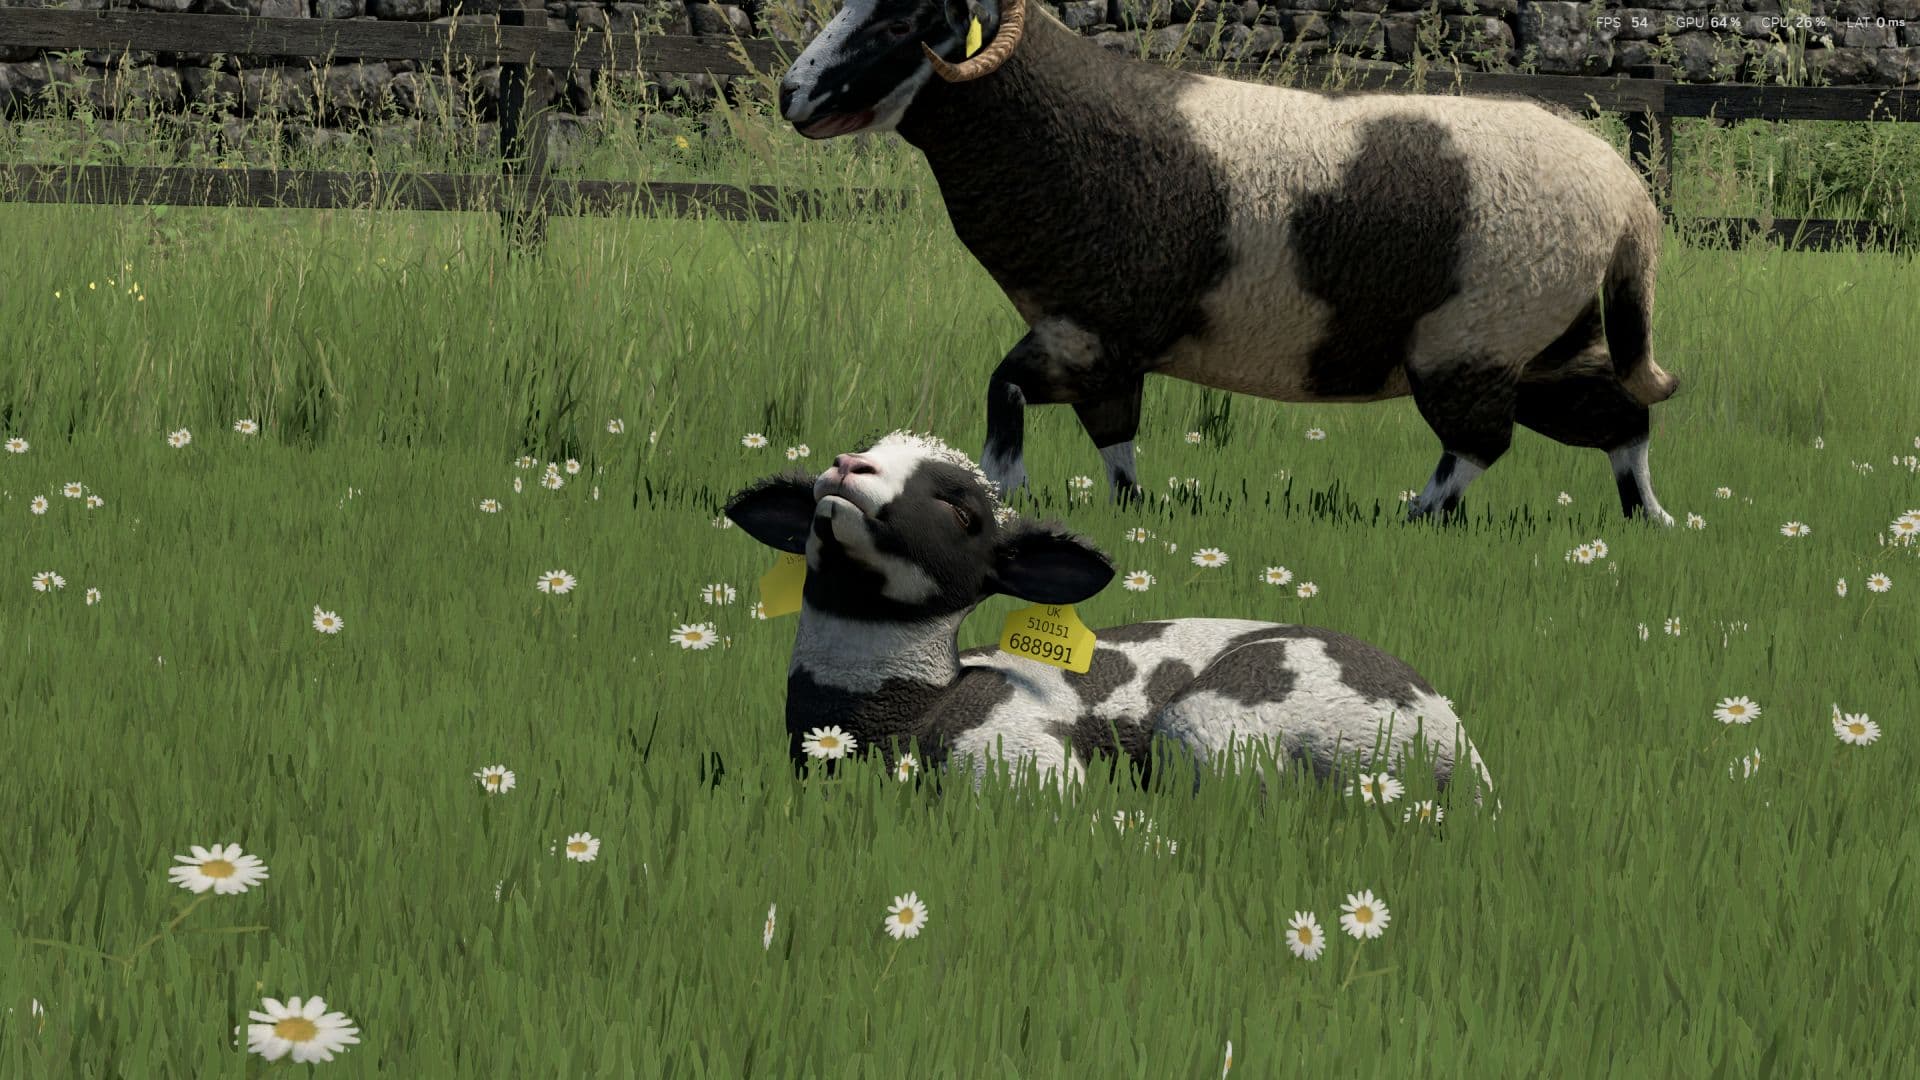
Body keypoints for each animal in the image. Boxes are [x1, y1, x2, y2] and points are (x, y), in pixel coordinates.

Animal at [722, 429, 1495, 801]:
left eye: (963, 512)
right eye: (851, 450)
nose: (848, 468)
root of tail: (1464, 754)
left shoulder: (1021, 753)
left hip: (1230, 718)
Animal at [776, 0, 1680, 525]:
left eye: (901, 23)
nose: (791, 94)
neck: (1054, 132)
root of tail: (1625, 193)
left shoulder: (1089, 328)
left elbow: (1005, 396)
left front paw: (1002, 495)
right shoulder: (1106, 353)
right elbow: (1114, 442)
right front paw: (1131, 516)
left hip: (1472, 341)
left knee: (1482, 445)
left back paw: (1416, 516)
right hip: (1546, 341)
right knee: (1620, 420)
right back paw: (1652, 524)